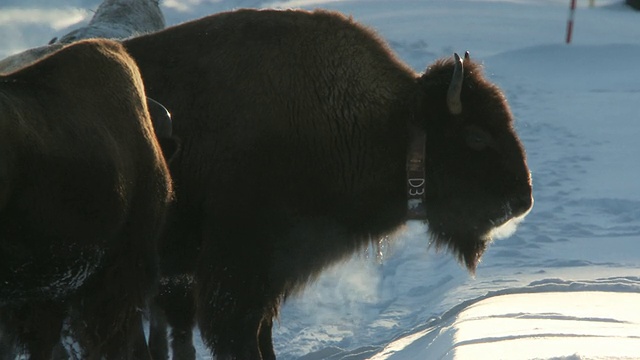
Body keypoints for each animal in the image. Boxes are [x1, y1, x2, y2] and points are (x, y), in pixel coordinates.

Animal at [122, 8, 532, 360]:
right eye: (476, 136)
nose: (522, 199)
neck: (389, 124)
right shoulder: (236, 268)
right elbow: (238, 333)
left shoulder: (270, 273)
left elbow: (262, 330)